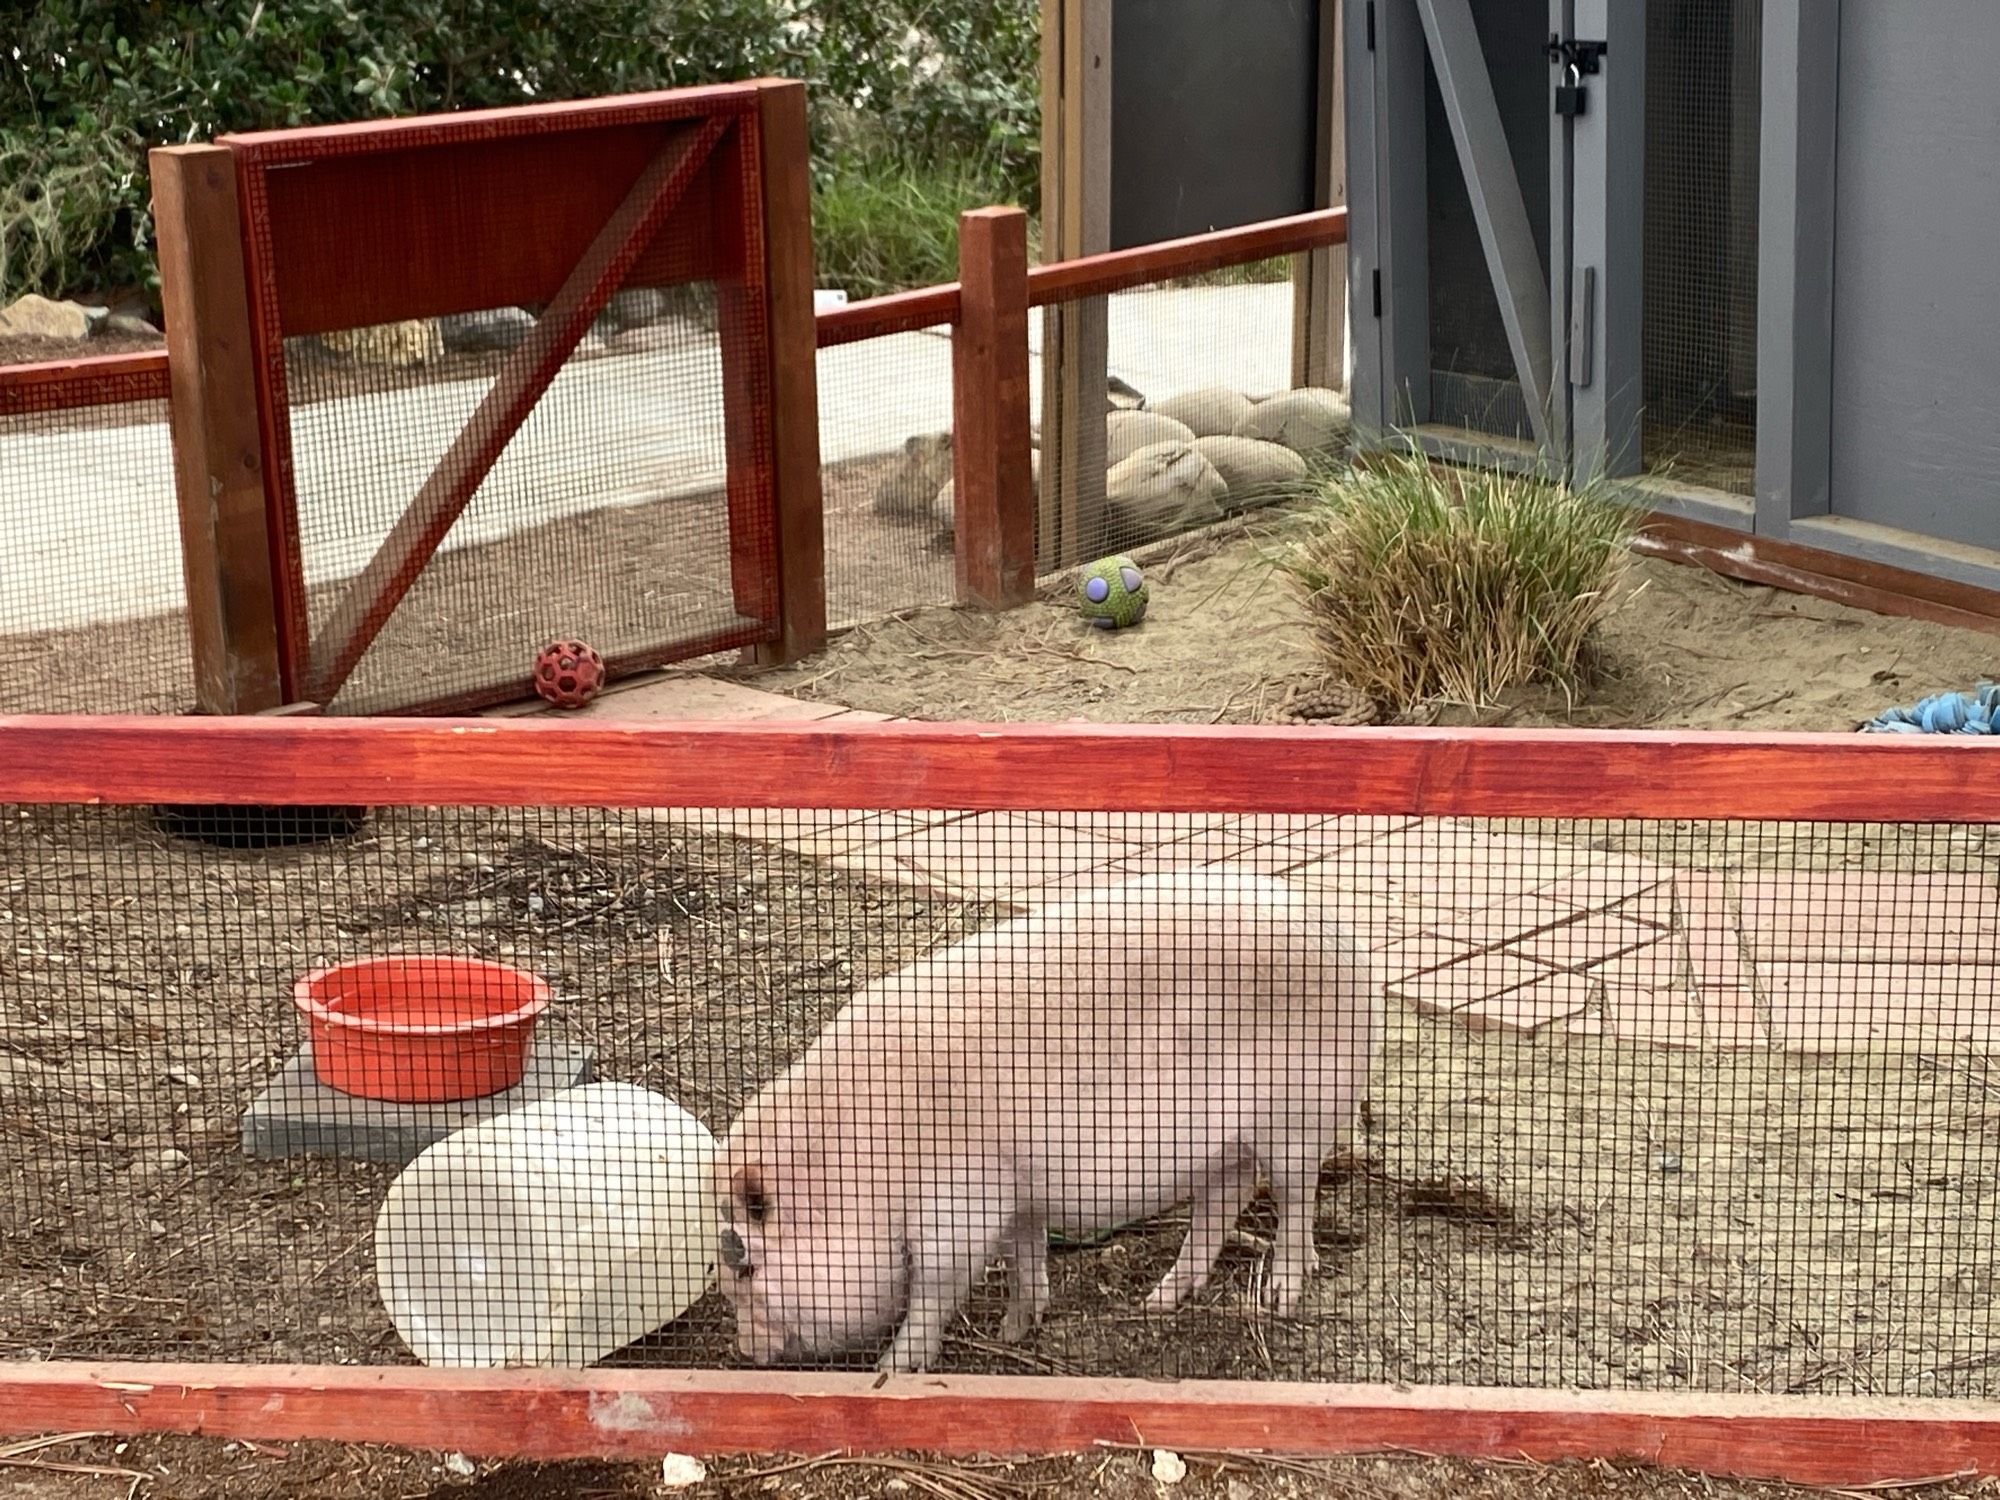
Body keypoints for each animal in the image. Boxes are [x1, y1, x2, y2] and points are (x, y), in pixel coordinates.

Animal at [716, 868, 1376, 1376]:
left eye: (746, 1264)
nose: (746, 1352)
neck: (858, 1174)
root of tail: (1344, 938)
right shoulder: (1019, 1194)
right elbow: (1024, 1256)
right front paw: (1013, 1331)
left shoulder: (959, 1211)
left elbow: (933, 1291)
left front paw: (893, 1369)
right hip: (1226, 1145)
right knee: (1223, 1201)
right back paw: (1157, 1301)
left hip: (1299, 1116)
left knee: (1295, 1198)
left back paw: (1281, 1296)